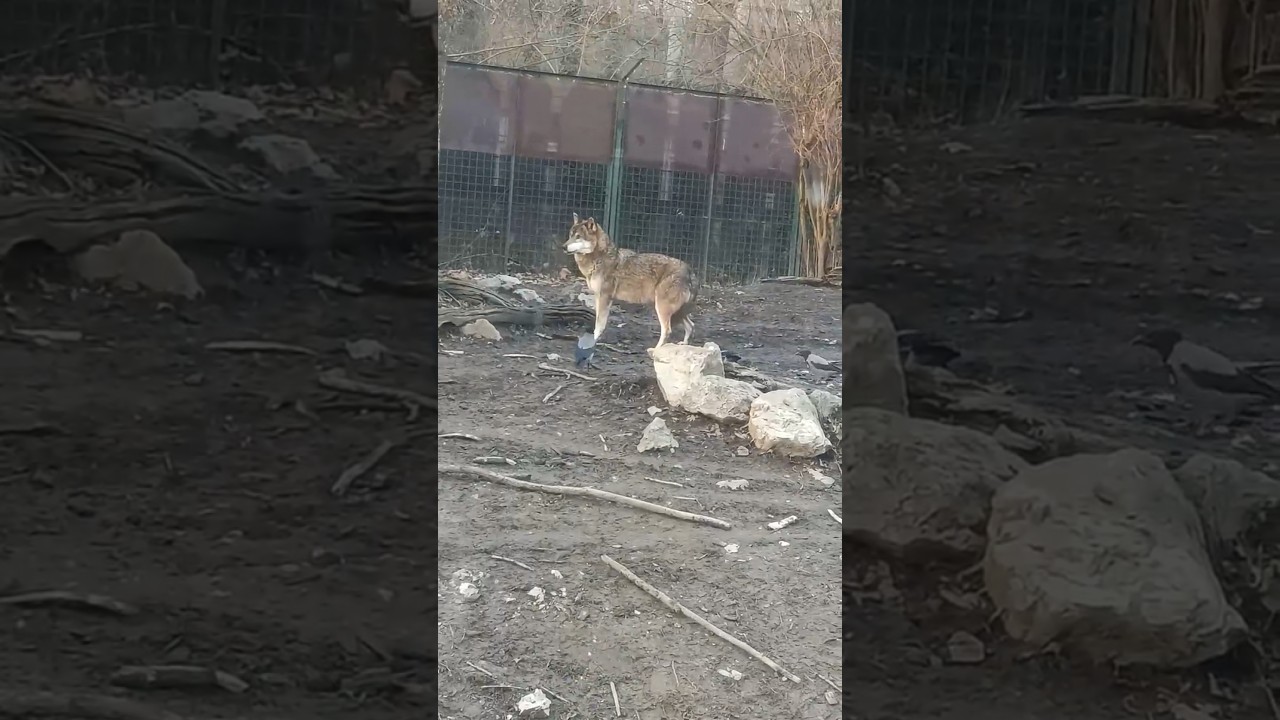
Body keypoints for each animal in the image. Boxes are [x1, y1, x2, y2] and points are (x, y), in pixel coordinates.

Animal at [563, 214, 698, 348]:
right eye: (570, 235)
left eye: (578, 237)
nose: (563, 247)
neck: (599, 258)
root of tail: (689, 270)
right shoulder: (598, 297)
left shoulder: (604, 297)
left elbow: (599, 325)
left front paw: (594, 341)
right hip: (674, 310)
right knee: (691, 325)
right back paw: (684, 344)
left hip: (662, 308)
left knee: (668, 330)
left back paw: (656, 350)